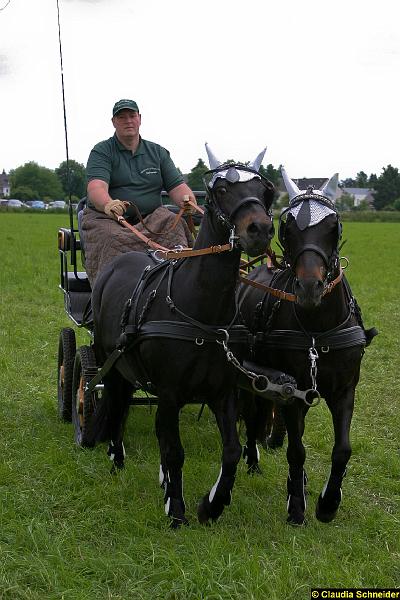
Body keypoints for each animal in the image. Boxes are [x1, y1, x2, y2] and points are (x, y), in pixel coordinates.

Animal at [87, 148, 276, 528]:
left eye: (264, 192)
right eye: (221, 190)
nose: (260, 229)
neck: (201, 314)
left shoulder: (223, 392)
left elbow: (231, 450)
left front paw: (212, 505)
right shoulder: (171, 393)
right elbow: (174, 450)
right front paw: (176, 509)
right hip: (109, 363)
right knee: (114, 407)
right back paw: (117, 458)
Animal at [238, 168, 378, 524]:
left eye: (333, 226)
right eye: (287, 228)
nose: (310, 287)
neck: (318, 330)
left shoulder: (345, 390)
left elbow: (342, 450)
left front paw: (328, 503)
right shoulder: (292, 391)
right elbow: (296, 449)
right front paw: (296, 505)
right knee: (254, 415)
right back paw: (254, 458)